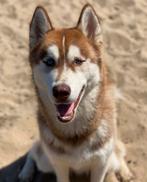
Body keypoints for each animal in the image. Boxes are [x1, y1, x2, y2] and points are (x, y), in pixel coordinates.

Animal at [19, 3, 133, 182]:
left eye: (78, 61)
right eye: (49, 61)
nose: (61, 91)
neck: (75, 132)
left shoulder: (101, 164)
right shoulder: (59, 165)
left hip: (110, 159)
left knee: (118, 152)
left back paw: (124, 170)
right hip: (46, 161)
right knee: (34, 150)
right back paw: (26, 172)